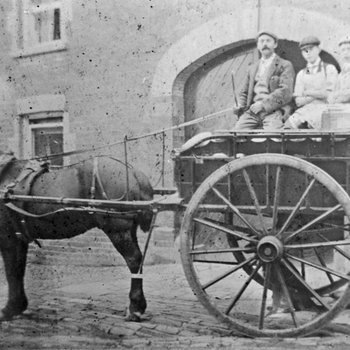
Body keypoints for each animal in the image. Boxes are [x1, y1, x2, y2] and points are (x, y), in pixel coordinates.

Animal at [0, 155, 154, 322]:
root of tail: (133, 172)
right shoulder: (18, 238)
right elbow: (18, 269)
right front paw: (18, 306)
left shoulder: (7, 237)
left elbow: (12, 272)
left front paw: (10, 309)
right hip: (129, 230)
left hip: (118, 230)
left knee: (133, 260)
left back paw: (135, 309)